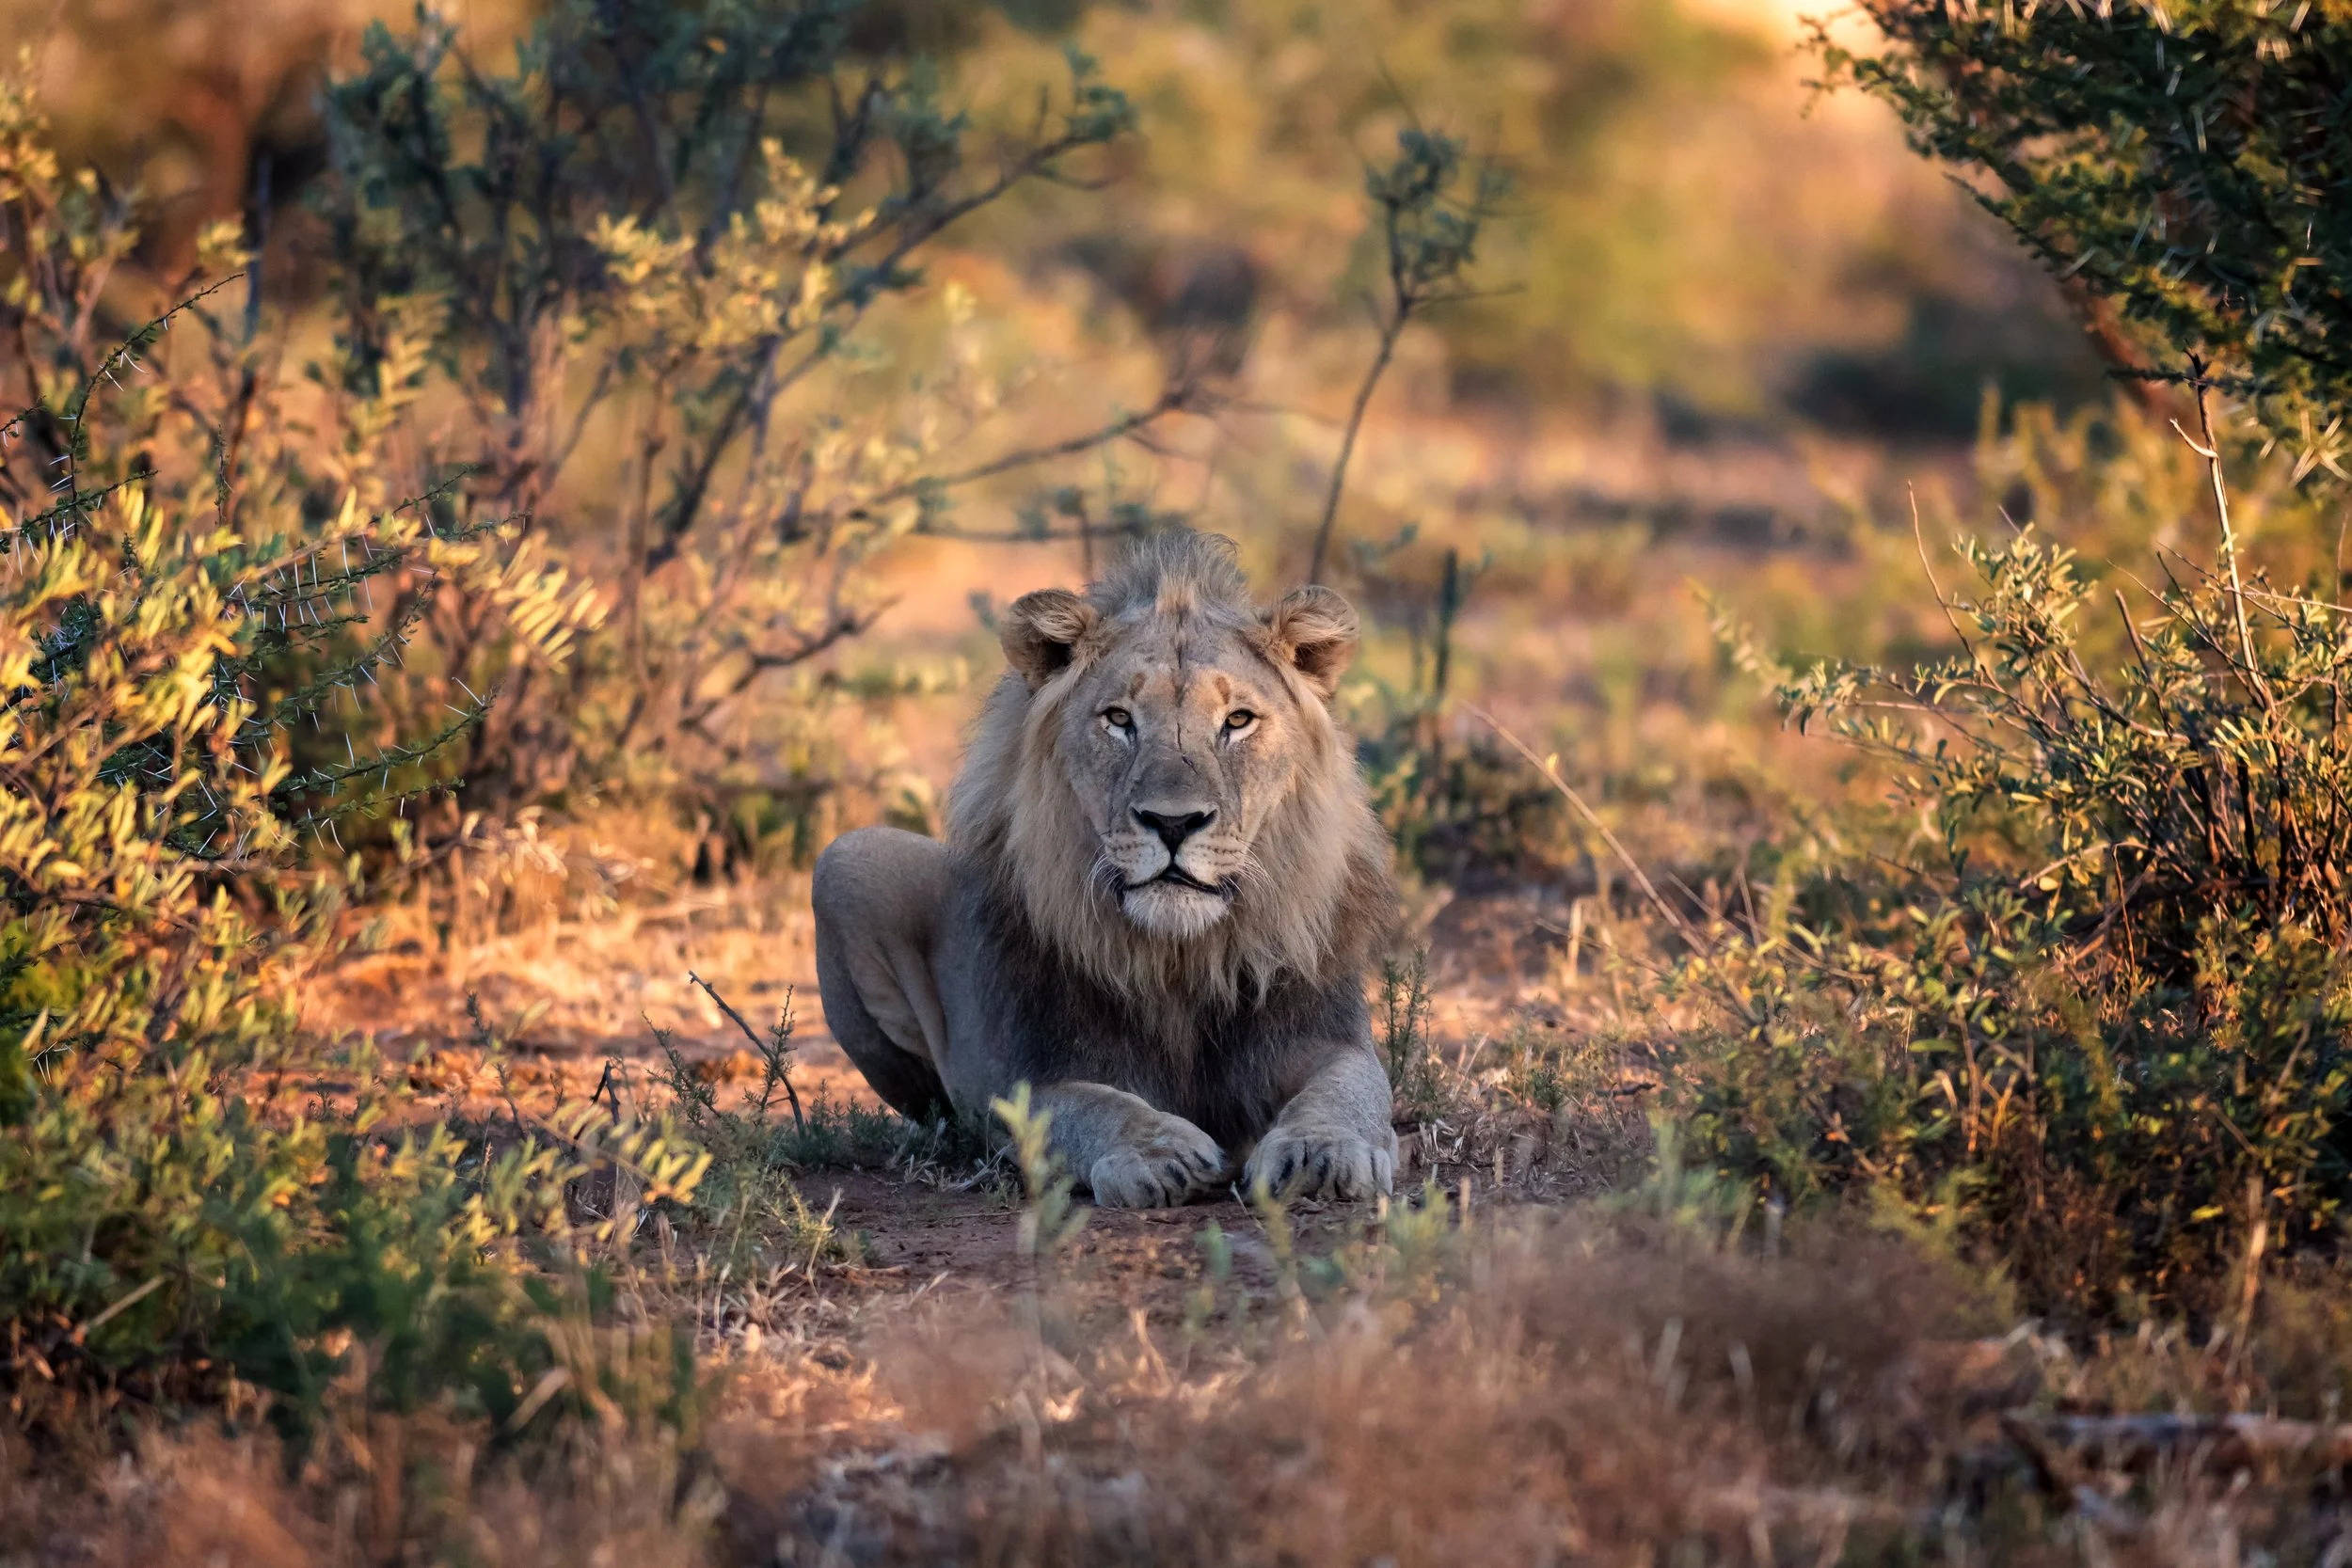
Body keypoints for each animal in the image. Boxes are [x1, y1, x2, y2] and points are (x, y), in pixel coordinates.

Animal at [810, 528, 1400, 1207]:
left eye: (1237, 720)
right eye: (1119, 719)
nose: (1173, 822)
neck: (1179, 959)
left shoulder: (1326, 1035)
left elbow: (1346, 1090)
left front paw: (1319, 1151)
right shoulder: (1034, 1073)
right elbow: (1091, 1107)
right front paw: (1156, 1150)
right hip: (847, 859)